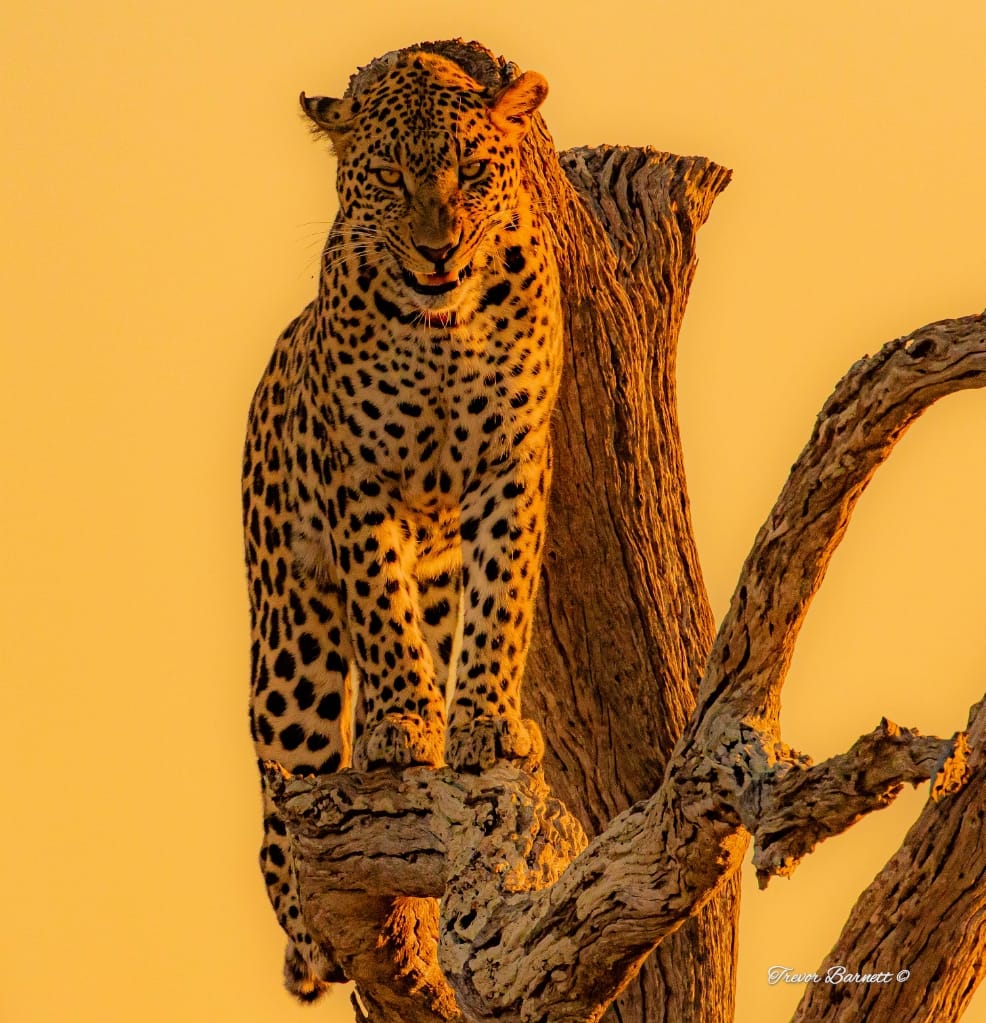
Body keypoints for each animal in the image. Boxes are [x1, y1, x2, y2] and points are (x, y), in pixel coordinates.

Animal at [242, 50, 563, 1000]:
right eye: (390, 177)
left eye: (474, 173)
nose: (437, 247)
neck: (441, 330)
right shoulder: (360, 476)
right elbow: (382, 613)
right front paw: (401, 726)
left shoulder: (511, 465)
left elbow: (501, 606)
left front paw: (485, 724)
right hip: (289, 652)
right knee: (283, 799)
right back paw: (309, 932)